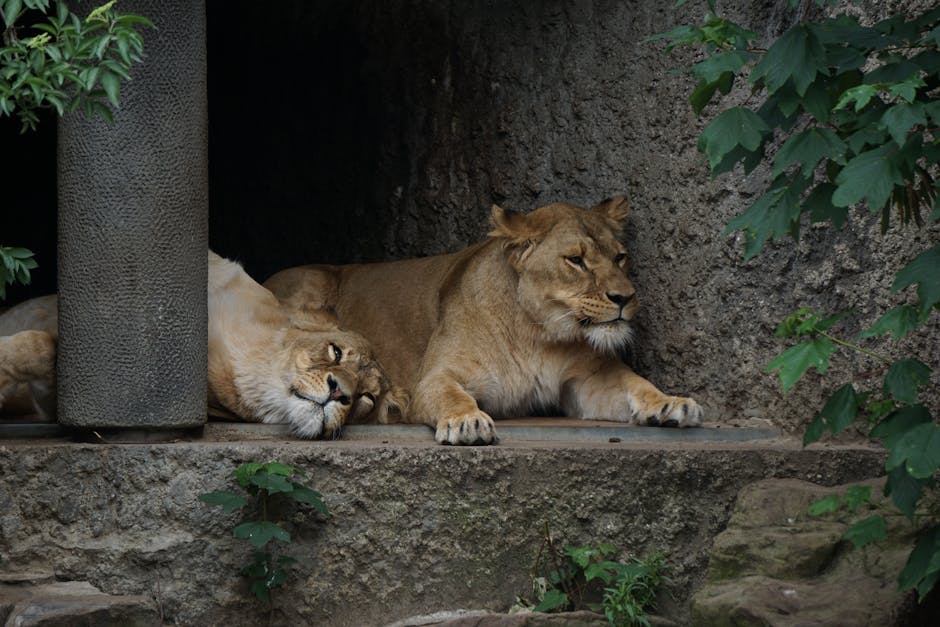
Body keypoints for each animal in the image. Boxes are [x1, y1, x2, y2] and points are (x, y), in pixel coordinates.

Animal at [0, 253, 404, 440]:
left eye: (366, 399)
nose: (340, 394)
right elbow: (38, 343)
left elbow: (40, 349)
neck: (249, 359)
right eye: (336, 352)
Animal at [260, 196, 700, 446]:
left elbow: (634, 385)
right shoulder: (434, 377)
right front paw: (468, 421)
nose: (625, 298)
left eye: (620, 257)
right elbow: (452, 395)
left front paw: (671, 403)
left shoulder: (584, 382)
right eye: (576, 260)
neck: (538, 334)